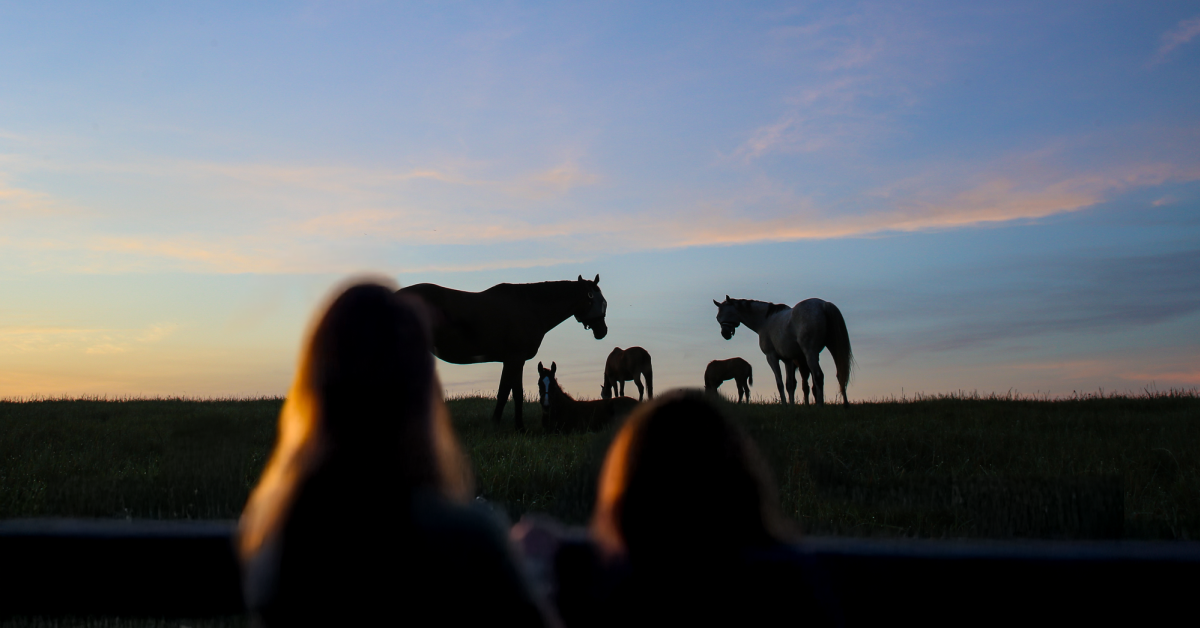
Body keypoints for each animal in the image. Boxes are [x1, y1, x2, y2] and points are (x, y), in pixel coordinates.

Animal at [399, 275, 607, 431]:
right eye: (601, 302)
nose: (602, 331)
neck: (530, 307)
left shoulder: (513, 360)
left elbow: (509, 392)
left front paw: (506, 424)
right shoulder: (515, 359)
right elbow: (512, 392)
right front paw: (511, 426)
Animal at [713, 296, 852, 406]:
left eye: (722, 315)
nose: (725, 334)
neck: (765, 321)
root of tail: (823, 304)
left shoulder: (772, 357)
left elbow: (780, 383)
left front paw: (785, 405)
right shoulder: (788, 360)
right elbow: (790, 384)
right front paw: (791, 406)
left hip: (810, 352)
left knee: (818, 375)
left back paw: (820, 406)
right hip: (832, 347)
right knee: (840, 373)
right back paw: (845, 405)